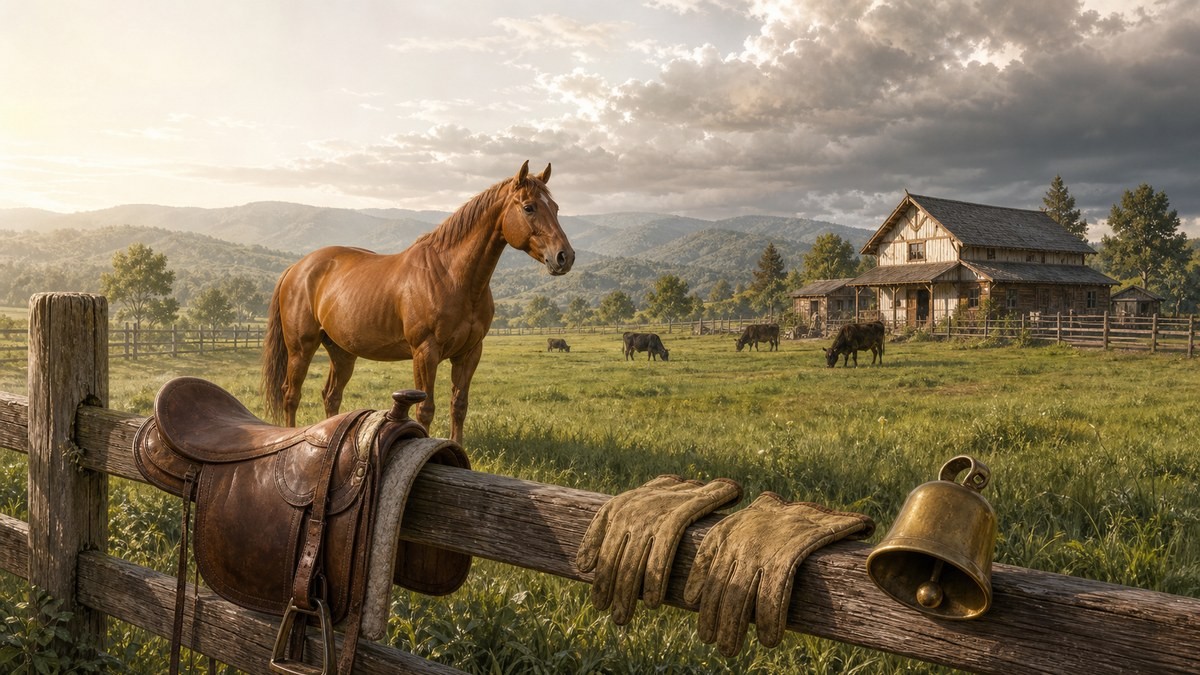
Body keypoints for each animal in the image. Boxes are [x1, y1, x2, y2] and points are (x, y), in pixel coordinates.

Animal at [262, 161, 575, 443]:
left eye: (556, 207)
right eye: (529, 207)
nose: (564, 257)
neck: (451, 275)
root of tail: (297, 268)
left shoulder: (470, 353)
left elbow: (459, 406)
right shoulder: (425, 352)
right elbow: (425, 409)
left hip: (342, 352)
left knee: (331, 396)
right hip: (301, 348)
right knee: (291, 394)